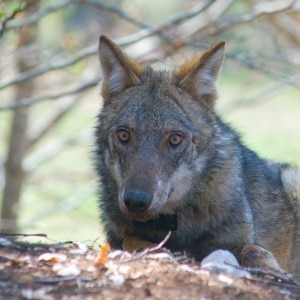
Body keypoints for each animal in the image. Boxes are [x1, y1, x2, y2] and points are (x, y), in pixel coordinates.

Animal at [94, 35, 300, 284]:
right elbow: (131, 241)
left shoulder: (237, 241)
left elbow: (254, 251)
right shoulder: (117, 238)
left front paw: (275, 273)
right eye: (124, 135)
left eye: (174, 139)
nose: (136, 200)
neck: (176, 223)